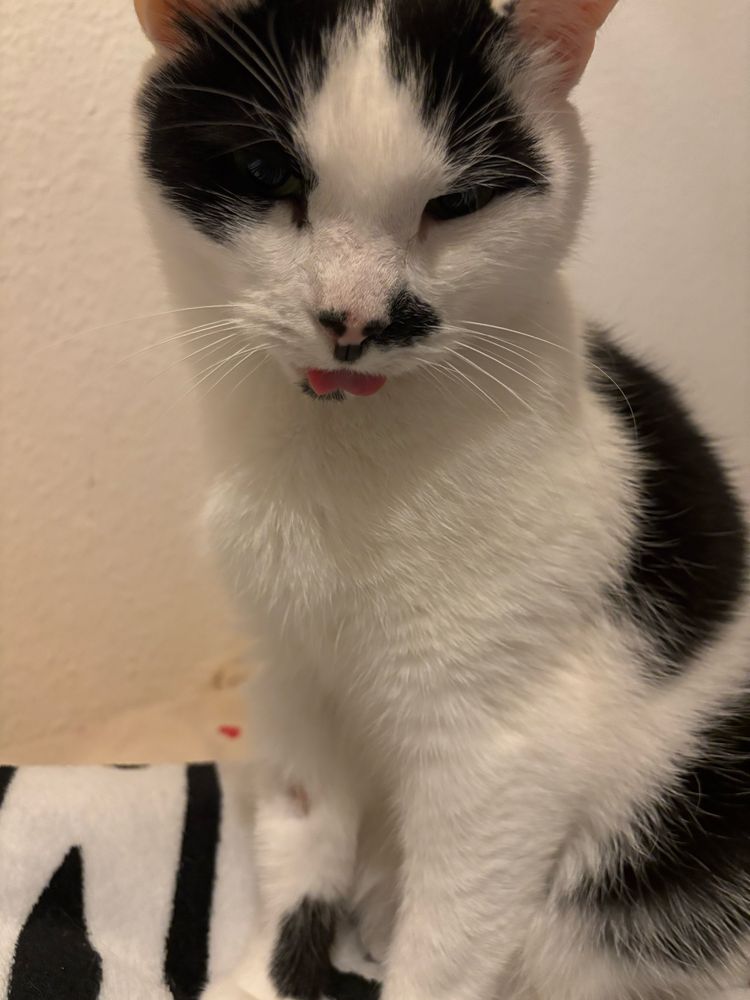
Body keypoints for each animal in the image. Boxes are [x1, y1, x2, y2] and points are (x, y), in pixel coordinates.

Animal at [134, 1, 750, 998]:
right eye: (267, 173)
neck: (340, 464)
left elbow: (447, 945)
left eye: (454, 204)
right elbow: (301, 849)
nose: (353, 317)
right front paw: (262, 976)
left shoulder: (502, 755)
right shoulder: (292, 681)